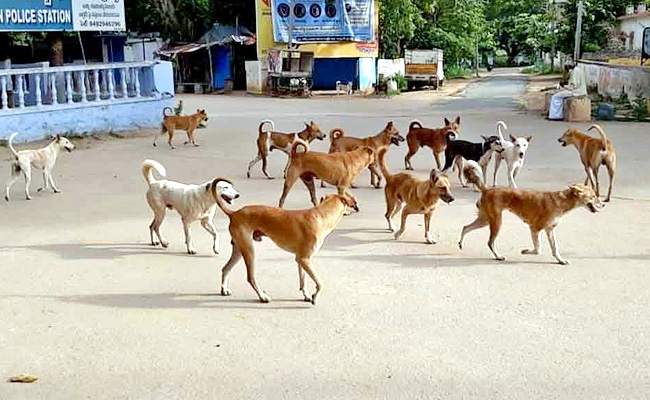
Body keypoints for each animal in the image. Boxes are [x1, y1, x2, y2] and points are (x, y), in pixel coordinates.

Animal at [214, 186, 356, 304]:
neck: (320, 215)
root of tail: (234, 213)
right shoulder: (304, 259)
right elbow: (320, 282)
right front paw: (315, 297)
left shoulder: (301, 260)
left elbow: (303, 281)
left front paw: (306, 295)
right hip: (249, 251)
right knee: (250, 278)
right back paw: (262, 296)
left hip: (239, 249)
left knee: (225, 269)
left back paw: (224, 289)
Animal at [458, 166, 600, 266]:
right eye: (593, 196)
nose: (603, 204)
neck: (561, 201)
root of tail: (487, 188)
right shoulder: (535, 228)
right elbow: (538, 249)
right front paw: (526, 251)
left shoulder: (550, 230)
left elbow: (555, 249)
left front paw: (560, 260)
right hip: (496, 221)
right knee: (490, 242)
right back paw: (498, 256)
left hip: (485, 219)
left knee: (465, 227)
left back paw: (461, 244)